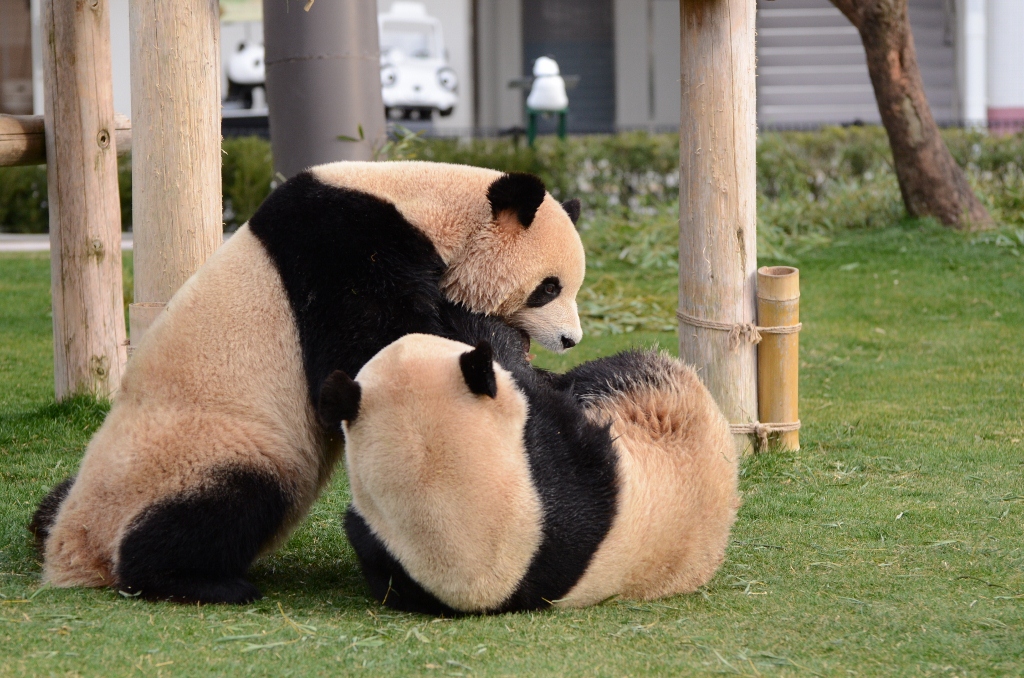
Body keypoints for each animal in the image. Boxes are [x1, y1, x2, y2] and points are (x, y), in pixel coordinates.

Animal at [29, 163, 585, 606]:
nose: (571, 339)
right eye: (548, 288)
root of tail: (72, 545)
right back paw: (202, 582)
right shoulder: (340, 246)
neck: (424, 203)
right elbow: (371, 348)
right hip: (201, 448)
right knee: (223, 501)